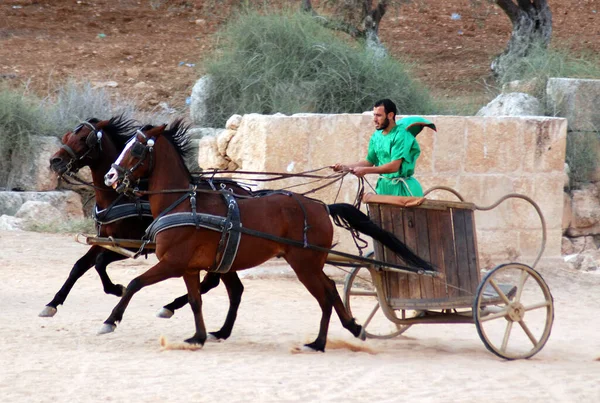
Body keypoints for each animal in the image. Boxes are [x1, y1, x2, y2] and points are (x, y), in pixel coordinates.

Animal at [41, 117, 246, 340]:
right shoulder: (105, 240)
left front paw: (117, 290)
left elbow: (99, 263)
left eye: (83, 138)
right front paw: (53, 303)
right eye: (68, 136)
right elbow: (79, 266)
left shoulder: (130, 245)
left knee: (213, 284)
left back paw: (171, 307)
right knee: (229, 287)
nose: (55, 161)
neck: (120, 198)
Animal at [102, 119, 432, 350]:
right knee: (330, 290)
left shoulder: (173, 262)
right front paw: (198, 336)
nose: (110, 176)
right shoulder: (189, 267)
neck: (184, 202)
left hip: (304, 265)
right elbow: (195, 301)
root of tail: (321, 206)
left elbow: (134, 284)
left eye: (136, 149)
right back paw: (352, 327)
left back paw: (319, 342)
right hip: (308, 264)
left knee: (324, 296)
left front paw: (110, 320)